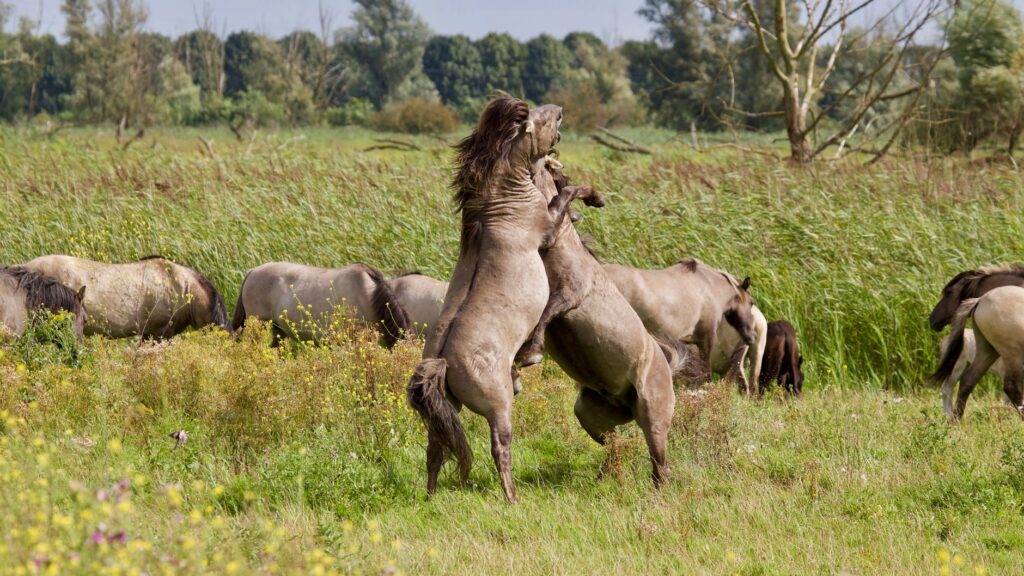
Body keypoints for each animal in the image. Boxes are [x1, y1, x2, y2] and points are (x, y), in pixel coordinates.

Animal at [406, 96, 603, 502]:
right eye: (539, 120)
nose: (559, 110)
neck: (501, 203)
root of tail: (443, 361)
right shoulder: (547, 229)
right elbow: (567, 194)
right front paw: (593, 198)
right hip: (499, 408)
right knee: (500, 447)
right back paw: (512, 497)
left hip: (446, 410)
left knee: (435, 449)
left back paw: (431, 496)